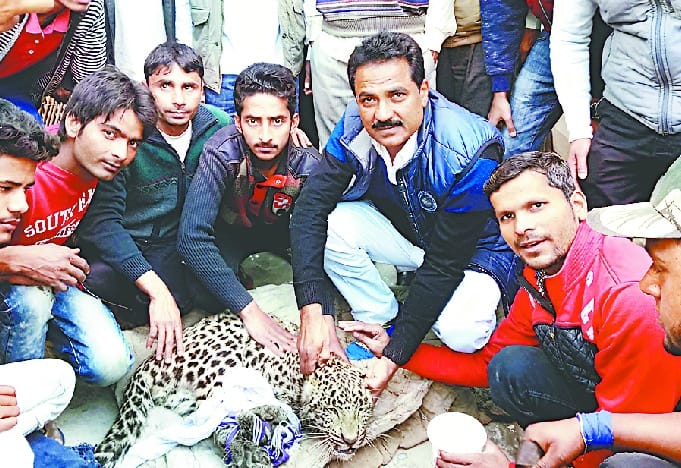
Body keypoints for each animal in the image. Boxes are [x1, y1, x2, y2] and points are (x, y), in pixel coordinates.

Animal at [94, 313, 374, 467]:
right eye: (331, 409)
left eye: (361, 408)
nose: (351, 440)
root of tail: (150, 362)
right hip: (224, 366)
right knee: (221, 424)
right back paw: (249, 452)